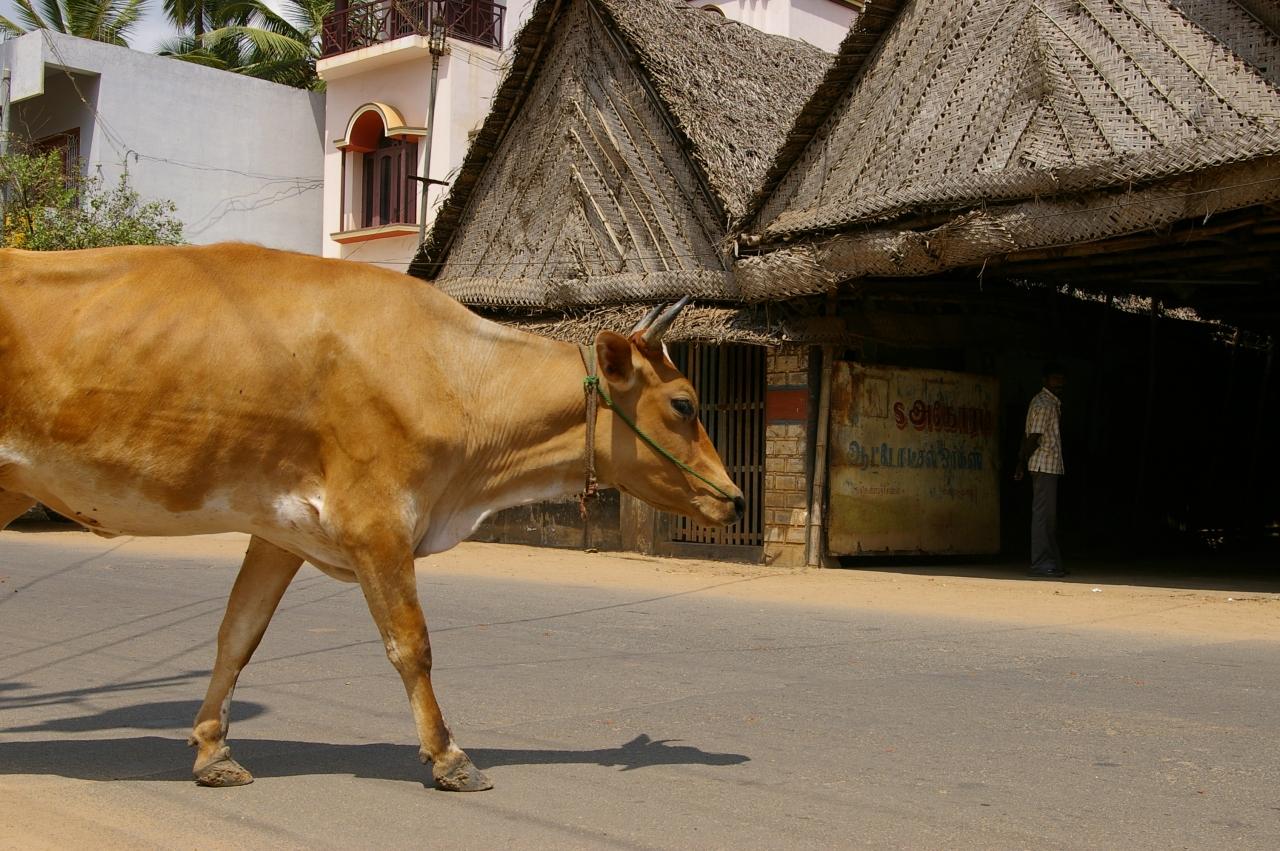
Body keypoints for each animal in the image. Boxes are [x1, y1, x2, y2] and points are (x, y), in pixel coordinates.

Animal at [0, 243, 744, 792]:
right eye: (683, 403)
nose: (733, 497)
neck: (453, 374)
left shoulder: (281, 530)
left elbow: (237, 635)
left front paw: (213, 751)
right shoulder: (376, 521)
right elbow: (412, 644)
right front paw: (449, 756)